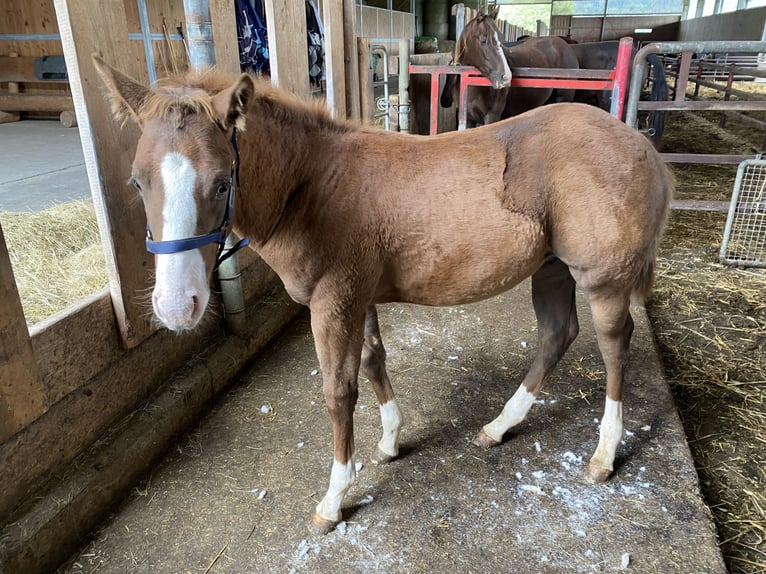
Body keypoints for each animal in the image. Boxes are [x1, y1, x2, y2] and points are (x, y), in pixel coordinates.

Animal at [93, 57, 676, 536]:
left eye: (220, 182)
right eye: (138, 182)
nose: (176, 306)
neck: (311, 186)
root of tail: (644, 147)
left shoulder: (333, 303)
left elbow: (338, 391)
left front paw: (334, 498)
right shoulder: (359, 297)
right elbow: (374, 360)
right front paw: (391, 442)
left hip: (602, 279)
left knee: (613, 346)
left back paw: (604, 454)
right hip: (552, 269)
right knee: (557, 335)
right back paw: (498, 427)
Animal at [440, 10, 580, 127]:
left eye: (501, 40)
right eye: (483, 41)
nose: (506, 77)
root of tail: (566, 47)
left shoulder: (492, 117)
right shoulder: (468, 118)